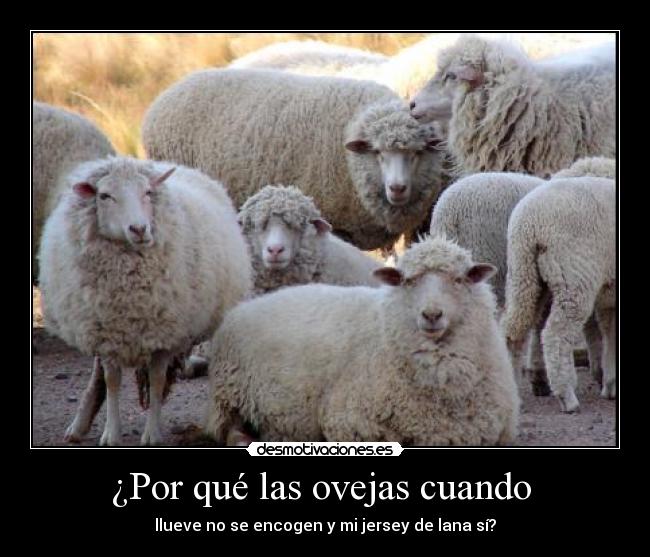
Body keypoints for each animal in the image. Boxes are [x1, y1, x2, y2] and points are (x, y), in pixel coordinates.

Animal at [38, 156, 252, 445]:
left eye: (148, 192)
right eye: (104, 196)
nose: (139, 229)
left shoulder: (163, 334)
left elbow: (157, 379)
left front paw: (152, 434)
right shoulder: (108, 335)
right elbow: (112, 381)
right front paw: (111, 433)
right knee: (97, 378)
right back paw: (79, 425)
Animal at [204, 236, 519, 446]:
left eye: (459, 279)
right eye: (407, 281)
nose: (431, 315)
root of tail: (245, 306)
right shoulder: (349, 421)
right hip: (229, 394)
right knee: (225, 429)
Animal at [501, 174, 615, 413]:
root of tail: (531, 222)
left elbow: (611, 334)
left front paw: (611, 386)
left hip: (523, 274)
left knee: (513, 329)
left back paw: (512, 390)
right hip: (574, 277)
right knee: (555, 334)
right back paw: (567, 397)